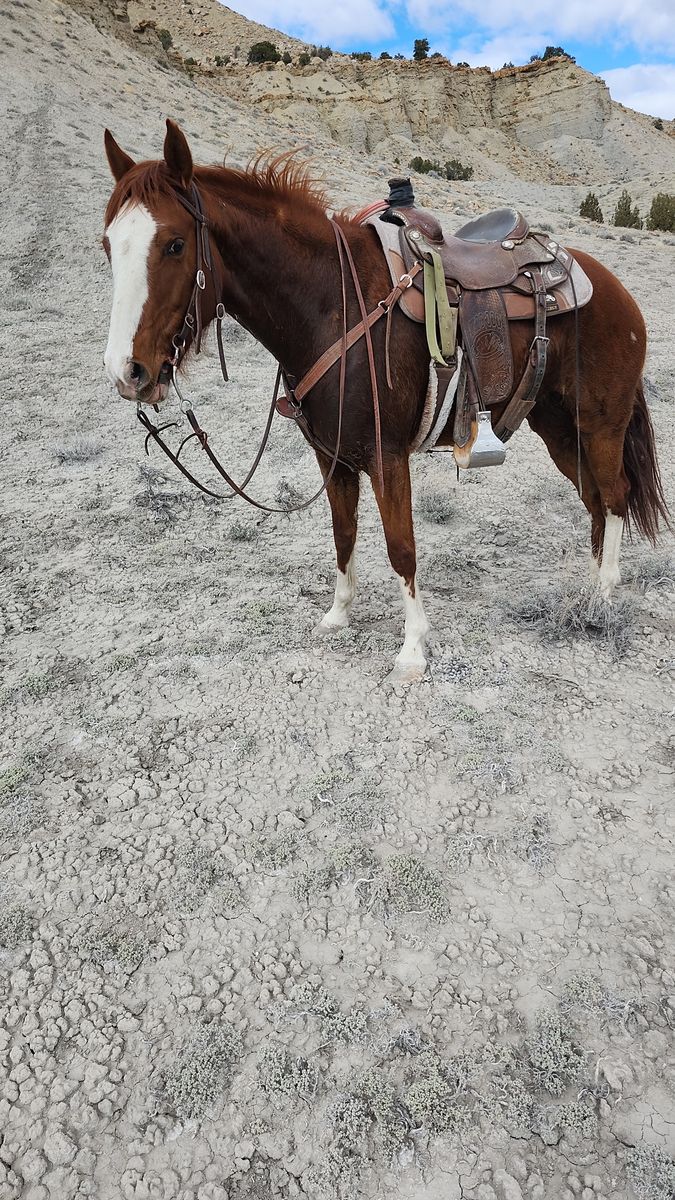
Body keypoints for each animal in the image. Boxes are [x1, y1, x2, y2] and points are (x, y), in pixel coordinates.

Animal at [101, 120, 669, 682]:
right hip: (556, 426)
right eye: (108, 245)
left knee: (613, 495)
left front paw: (413, 647)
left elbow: (401, 547)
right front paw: (338, 615)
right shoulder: (332, 457)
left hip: (600, 424)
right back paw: (591, 584)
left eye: (175, 245)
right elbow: (344, 534)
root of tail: (611, 287)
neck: (332, 306)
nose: (128, 372)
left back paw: (602, 595)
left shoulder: (387, 455)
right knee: (593, 498)